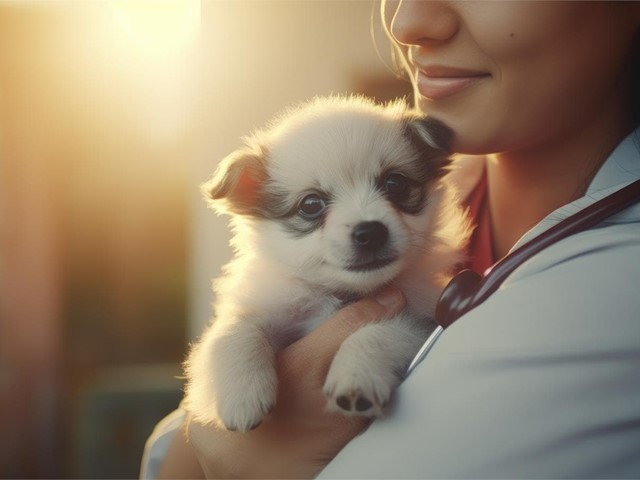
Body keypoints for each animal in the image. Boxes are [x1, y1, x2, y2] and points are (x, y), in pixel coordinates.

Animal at [184, 94, 470, 432]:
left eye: (395, 184)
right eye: (311, 204)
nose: (370, 232)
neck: (341, 292)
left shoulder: (421, 317)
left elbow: (384, 329)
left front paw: (356, 376)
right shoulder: (262, 306)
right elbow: (234, 331)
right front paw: (242, 396)